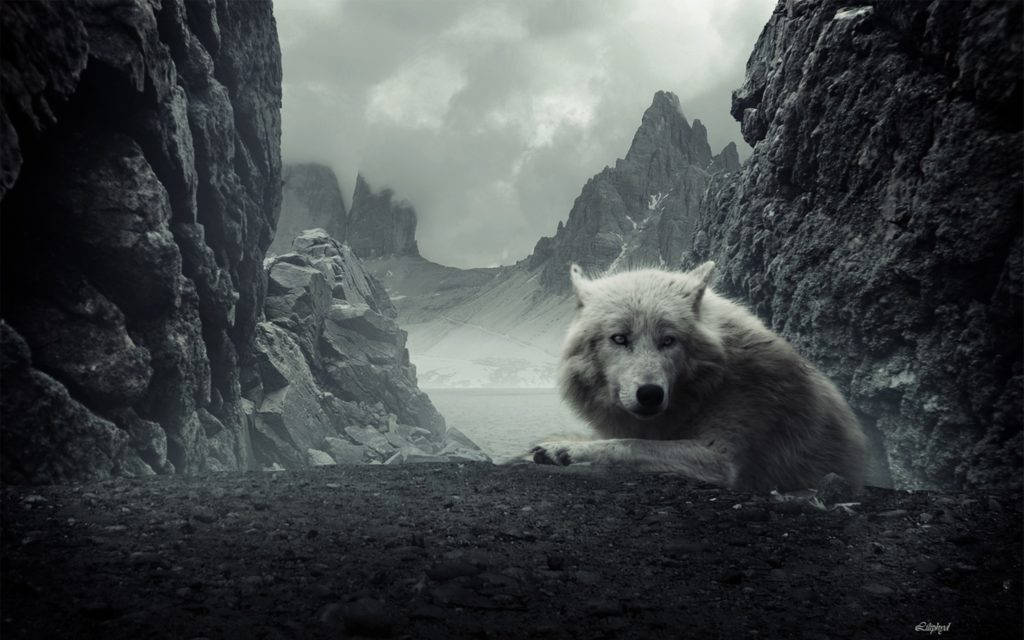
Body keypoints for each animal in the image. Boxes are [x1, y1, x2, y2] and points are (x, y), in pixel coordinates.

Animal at [531, 262, 866, 492]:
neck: (709, 387)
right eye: (619, 338)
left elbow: (628, 444)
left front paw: (565, 448)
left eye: (669, 340)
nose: (650, 394)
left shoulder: (721, 458)